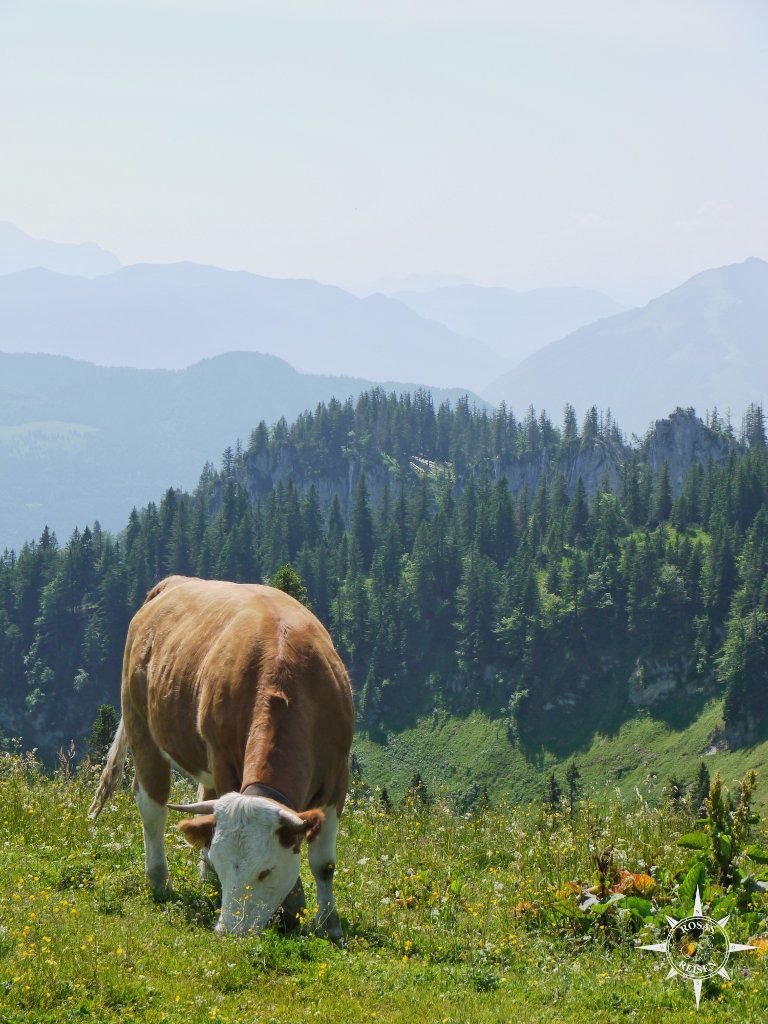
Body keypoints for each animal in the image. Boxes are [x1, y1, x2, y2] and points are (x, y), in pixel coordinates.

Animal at [89, 577, 354, 937]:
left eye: (266, 871)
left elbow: (322, 863)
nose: (230, 930)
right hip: (140, 720)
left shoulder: (338, 776)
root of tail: (172, 582)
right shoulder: (224, 761)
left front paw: (327, 924)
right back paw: (160, 881)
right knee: (152, 807)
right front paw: (292, 906)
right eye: (225, 863)